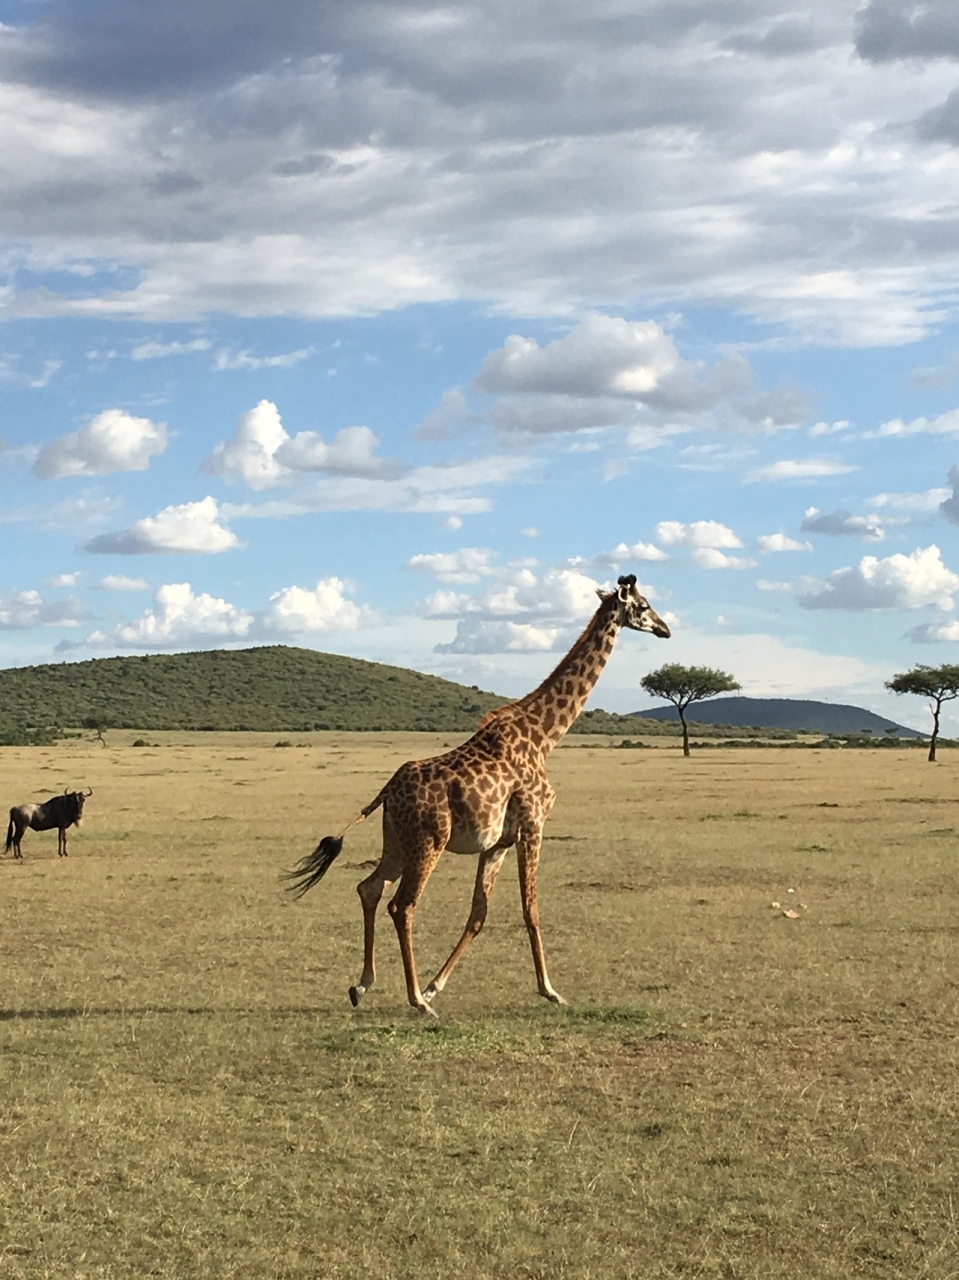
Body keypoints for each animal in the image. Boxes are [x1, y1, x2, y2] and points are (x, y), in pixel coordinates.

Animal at [284, 576, 670, 1013]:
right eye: (644, 604)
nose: (665, 629)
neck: (544, 736)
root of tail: (387, 791)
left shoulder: (498, 841)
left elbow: (478, 913)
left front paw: (436, 985)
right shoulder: (533, 824)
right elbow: (531, 908)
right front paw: (550, 990)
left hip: (397, 841)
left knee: (369, 887)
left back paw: (363, 985)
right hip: (429, 841)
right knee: (402, 905)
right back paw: (415, 1000)